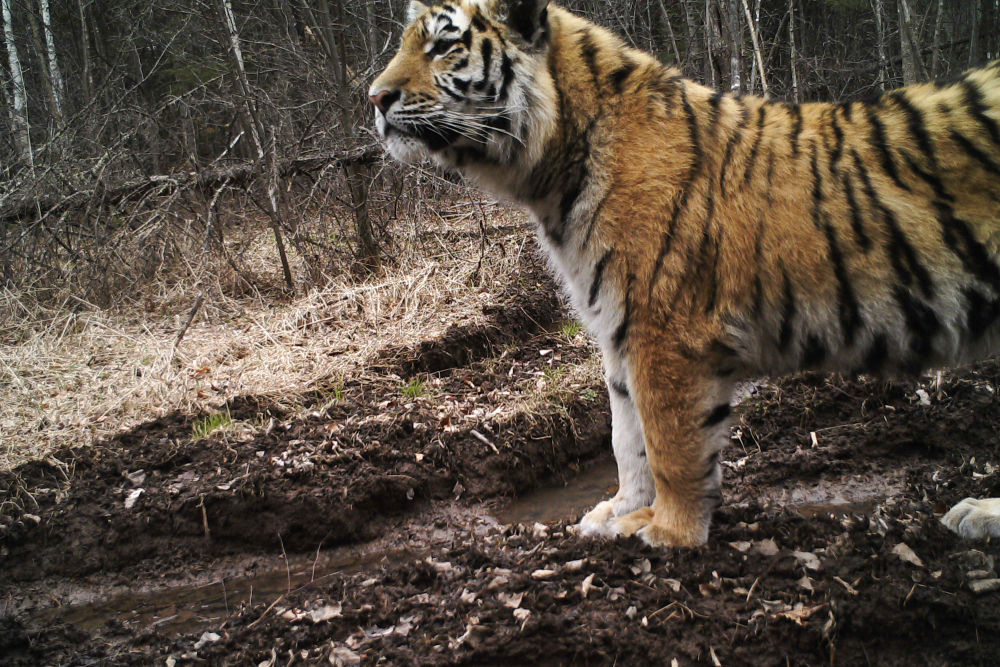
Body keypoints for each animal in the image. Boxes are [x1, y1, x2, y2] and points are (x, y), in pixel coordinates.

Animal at [372, 0, 1000, 544]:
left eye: (444, 46)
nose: (375, 98)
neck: (552, 170)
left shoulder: (663, 326)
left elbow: (668, 439)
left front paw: (667, 531)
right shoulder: (615, 325)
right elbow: (625, 435)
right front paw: (619, 511)